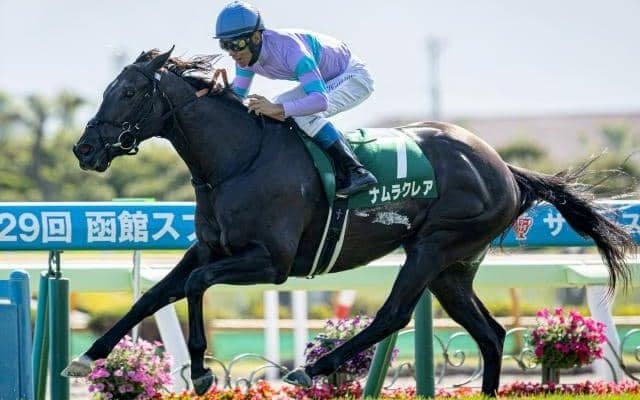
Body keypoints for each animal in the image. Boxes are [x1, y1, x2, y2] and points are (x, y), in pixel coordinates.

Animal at [65, 47, 635, 396]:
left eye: (130, 93)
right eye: (109, 89)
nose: (84, 148)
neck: (237, 159)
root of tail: (505, 169)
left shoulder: (269, 263)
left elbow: (196, 286)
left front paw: (203, 370)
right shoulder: (209, 248)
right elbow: (153, 295)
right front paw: (88, 357)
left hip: (434, 247)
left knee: (393, 315)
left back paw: (309, 368)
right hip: (453, 268)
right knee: (490, 334)